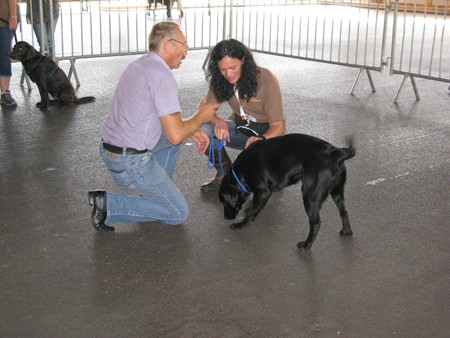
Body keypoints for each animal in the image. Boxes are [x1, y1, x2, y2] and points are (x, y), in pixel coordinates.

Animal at [218, 133, 356, 250]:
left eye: (224, 203)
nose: (226, 217)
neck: (241, 171)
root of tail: (336, 152)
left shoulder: (263, 192)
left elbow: (252, 211)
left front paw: (241, 224)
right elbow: (254, 208)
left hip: (310, 195)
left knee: (316, 222)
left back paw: (306, 245)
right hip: (337, 192)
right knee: (344, 212)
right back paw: (346, 231)